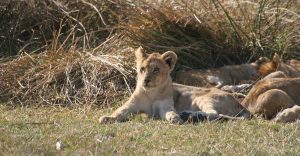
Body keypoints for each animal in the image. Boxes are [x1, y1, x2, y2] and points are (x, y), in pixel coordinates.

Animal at [99, 47, 248, 123]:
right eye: (142, 69)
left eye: (156, 69)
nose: (145, 80)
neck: (151, 93)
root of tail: (240, 105)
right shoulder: (131, 105)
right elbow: (120, 111)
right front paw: (107, 118)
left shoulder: (164, 107)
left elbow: (169, 112)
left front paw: (174, 117)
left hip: (202, 98)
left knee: (215, 114)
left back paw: (189, 116)